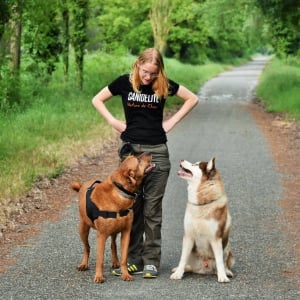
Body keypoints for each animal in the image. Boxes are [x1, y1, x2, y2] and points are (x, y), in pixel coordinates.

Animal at [71, 154, 155, 282]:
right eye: (138, 159)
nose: (149, 153)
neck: (119, 191)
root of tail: (82, 185)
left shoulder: (126, 232)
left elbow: (124, 258)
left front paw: (125, 274)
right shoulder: (101, 235)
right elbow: (99, 259)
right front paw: (99, 276)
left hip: (114, 231)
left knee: (113, 245)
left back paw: (115, 261)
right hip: (83, 228)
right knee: (87, 247)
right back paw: (84, 264)